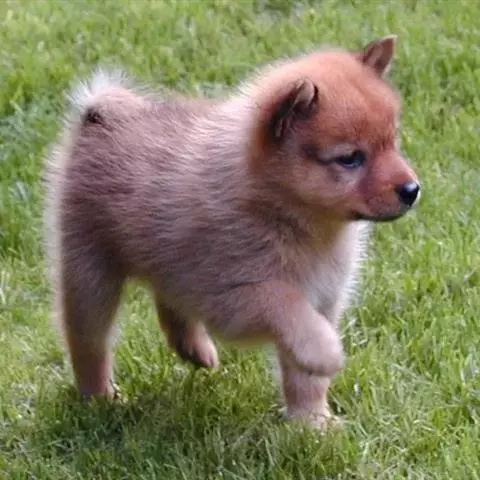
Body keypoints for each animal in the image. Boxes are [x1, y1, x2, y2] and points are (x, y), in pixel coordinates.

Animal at [44, 35, 419, 429]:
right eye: (350, 158)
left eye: (392, 142)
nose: (412, 190)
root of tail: (100, 114)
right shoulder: (231, 296)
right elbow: (284, 302)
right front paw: (326, 353)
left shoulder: (325, 297)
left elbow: (304, 376)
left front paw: (311, 423)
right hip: (90, 270)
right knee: (88, 341)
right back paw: (99, 398)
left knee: (168, 298)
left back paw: (192, 350)